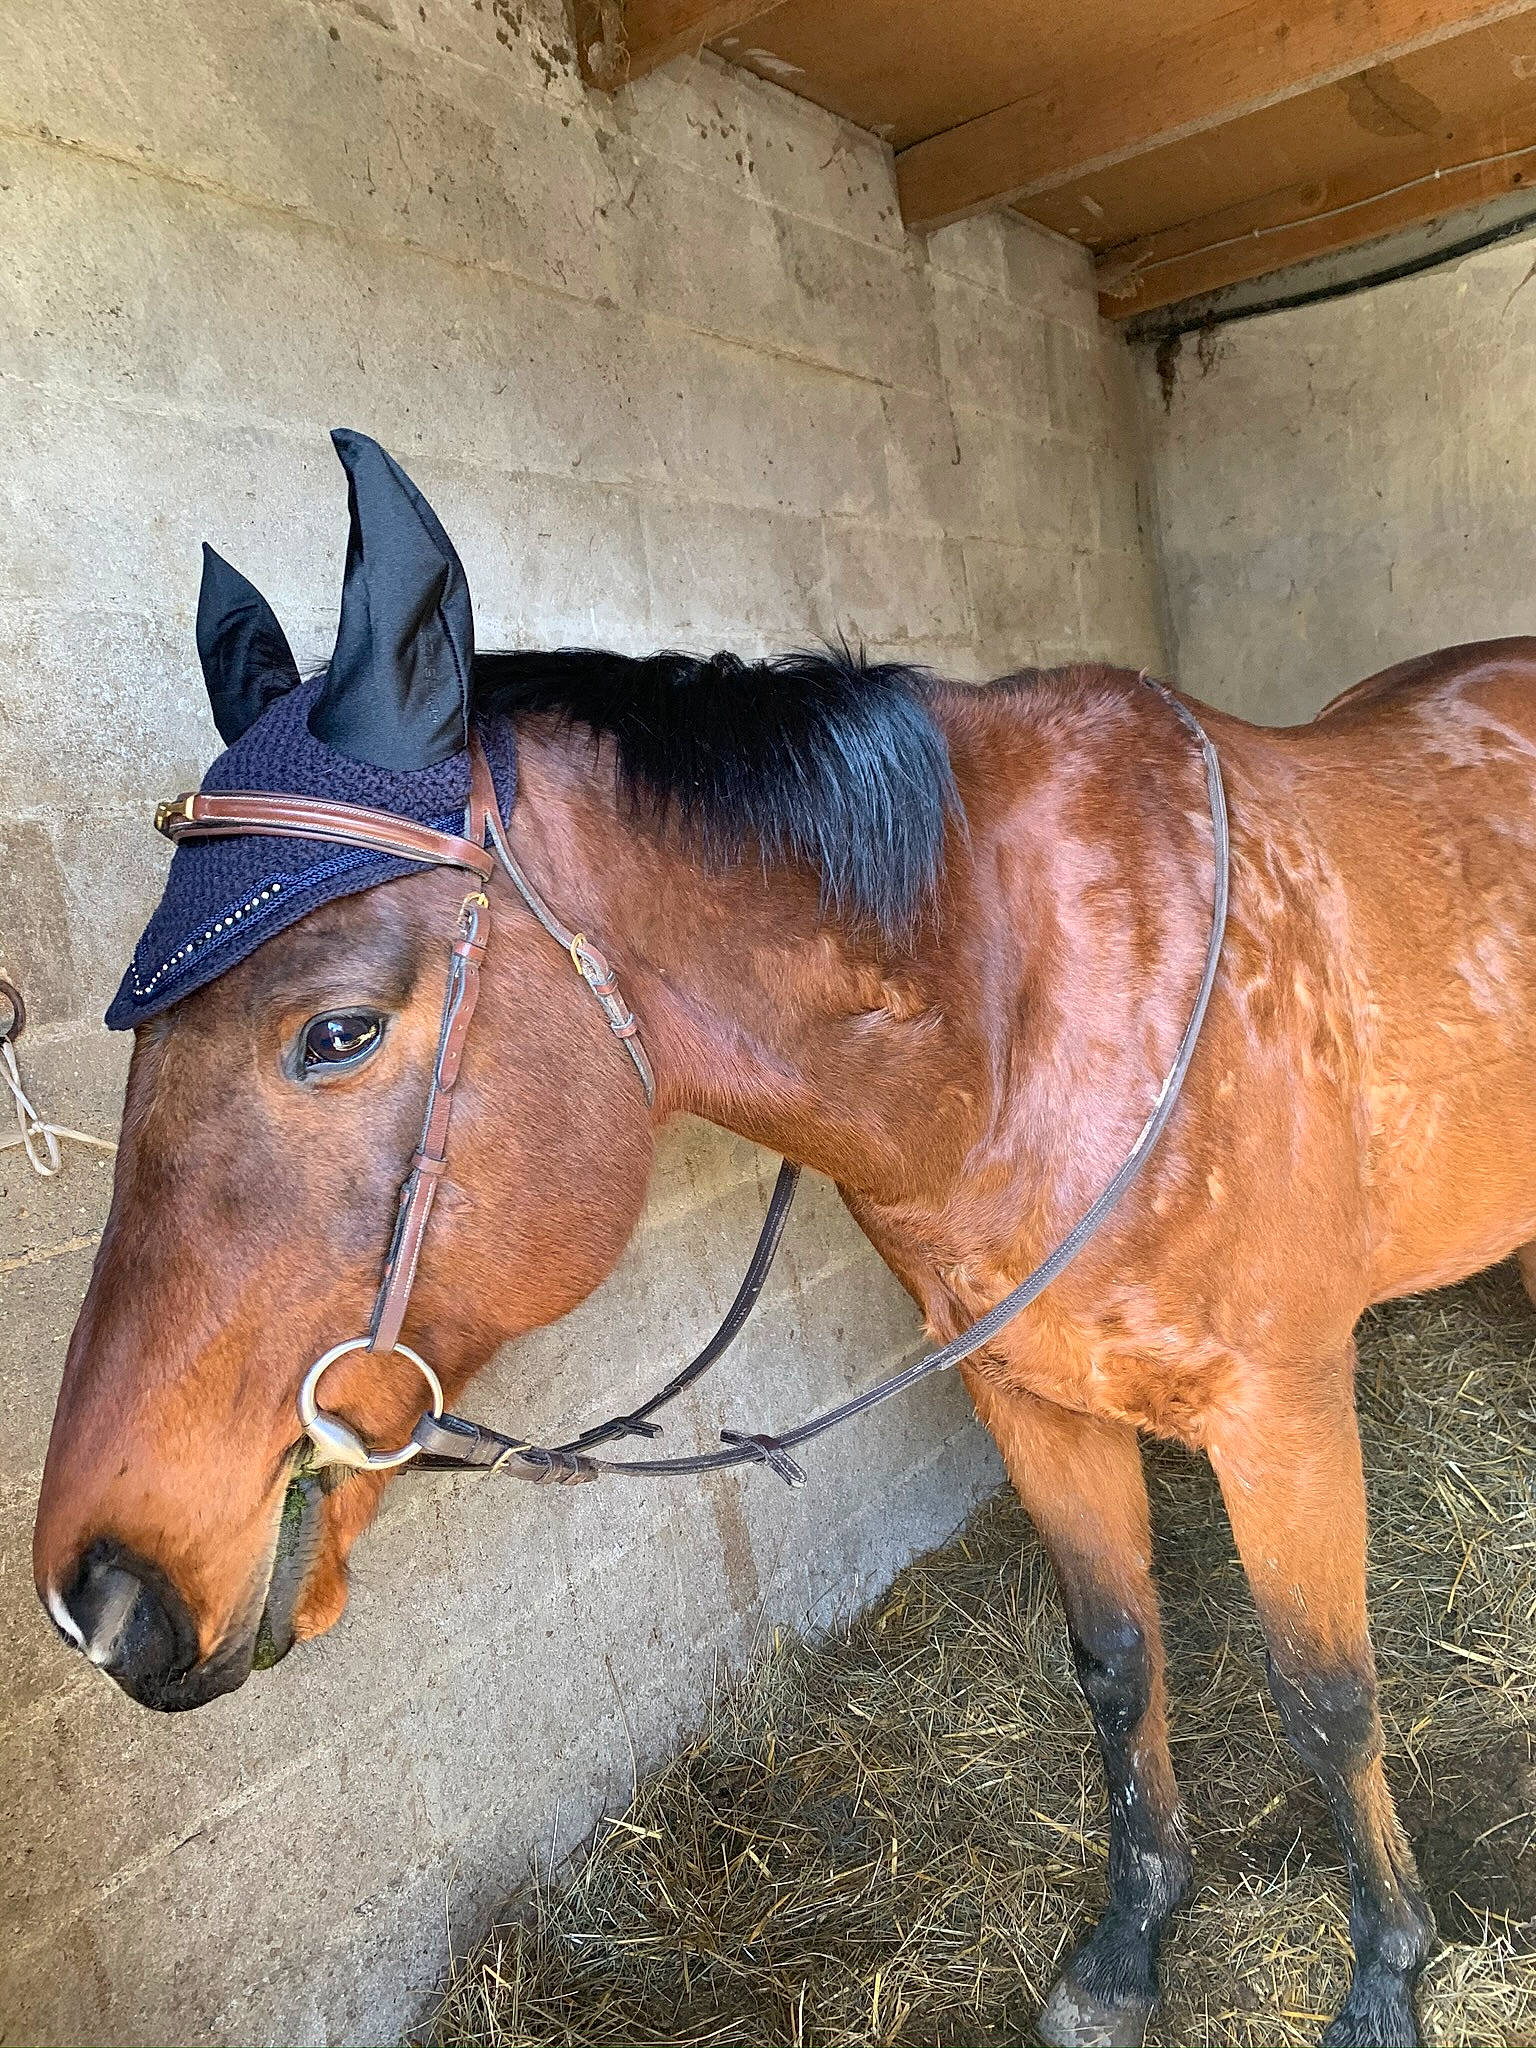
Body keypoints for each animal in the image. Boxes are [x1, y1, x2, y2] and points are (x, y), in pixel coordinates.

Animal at [34, 628, 1536, 2048]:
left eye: (336, 1032)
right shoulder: (1031, 1401)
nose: (96, 1598)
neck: (1024, 1003)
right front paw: (1128, 1949)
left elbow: (1328, 1700)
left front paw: (1388, 1978)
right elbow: (1117, 1666)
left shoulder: (1282, 1414)